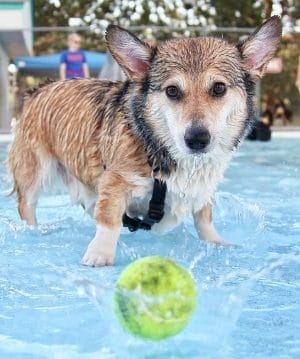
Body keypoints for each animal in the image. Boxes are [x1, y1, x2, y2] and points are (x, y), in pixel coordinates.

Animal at [7, 16, 282, 268]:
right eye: (172, 91)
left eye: (219, 88)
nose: (197, 140)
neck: (159, 149)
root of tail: (38, 90)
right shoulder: (115, 181)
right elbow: (109, 220)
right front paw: (100, 253)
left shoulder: (204, 190)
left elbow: (204, 218)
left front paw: (216, 242)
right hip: (33, 174)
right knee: (27, 205)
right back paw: (35, 231)